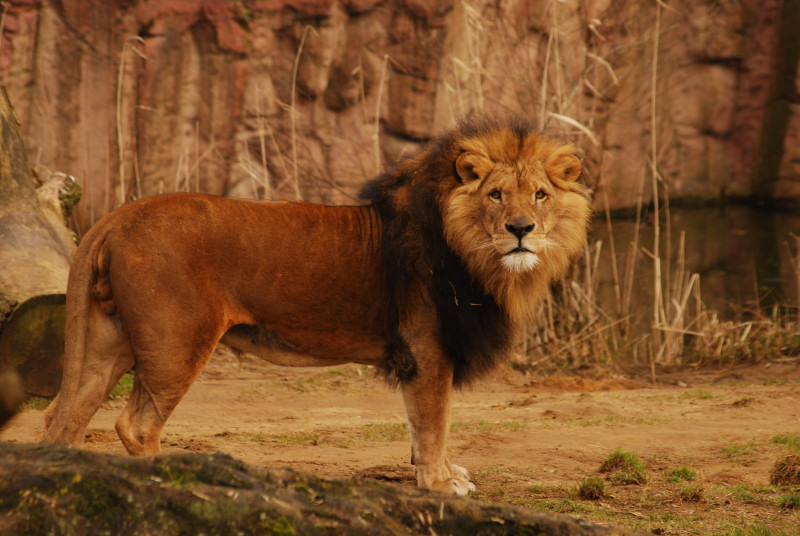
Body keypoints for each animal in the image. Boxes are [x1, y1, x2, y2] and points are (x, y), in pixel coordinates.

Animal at [42, 116, 591, 495]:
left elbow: (421, 428)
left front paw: (434, 474)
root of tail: (115, 217)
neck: (478, 255)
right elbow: (434, 422)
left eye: (540, 195)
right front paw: (440, 484)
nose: (520, 229)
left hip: (105, 341)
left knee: (62, 417)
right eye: (496, 195)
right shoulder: (428, 350)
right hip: (176, 343)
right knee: (136, 425)